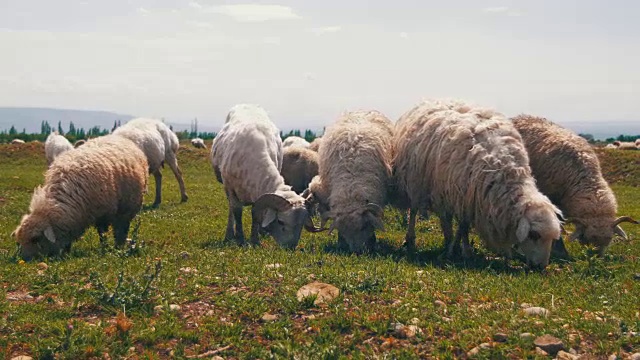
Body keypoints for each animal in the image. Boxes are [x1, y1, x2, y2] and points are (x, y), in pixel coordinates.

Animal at [11, 134, 148, 260]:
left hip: (127, 207)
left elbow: (102, 234)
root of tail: (119, 137)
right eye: (19, 241)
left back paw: (119, 246)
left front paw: (104, 248)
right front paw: (66, 252)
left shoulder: (103, 213)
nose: (24, 259)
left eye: (35, 239)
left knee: (121, 229)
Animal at [210, 103, 320, 248]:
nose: (290, 247)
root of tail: (247, 104)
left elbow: (257, 214)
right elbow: (237, 212)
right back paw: (229, 235)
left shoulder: (259, 192)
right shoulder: (231, 188)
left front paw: (255, 240)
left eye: (301, 225)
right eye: (280, 221)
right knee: (231, 211)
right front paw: (240, 239)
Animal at [392, 100, 564, 268]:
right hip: (418, 182)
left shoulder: (468, 200)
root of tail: (428, 101)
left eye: (552, 239)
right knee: (415, 211)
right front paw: (456, 249)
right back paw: (411, 239)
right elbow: (457, 226)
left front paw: (460, 248)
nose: (541, 267)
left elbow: (463, 226)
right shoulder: (457, 195)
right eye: (534, 235)